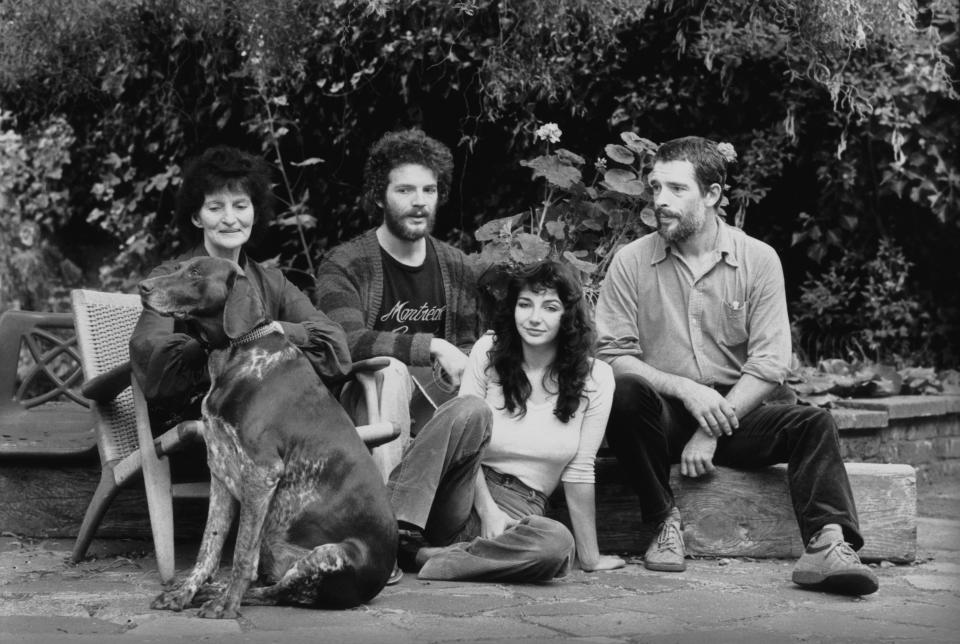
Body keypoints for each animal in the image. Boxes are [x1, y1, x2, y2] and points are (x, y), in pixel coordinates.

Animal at [139, 255, 398, 620]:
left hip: (330, 555)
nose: (142, 287)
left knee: (280, 592)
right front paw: (184, 594)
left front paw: (226, 605)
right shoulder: (220, 473)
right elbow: (208, 549)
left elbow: (241, 555)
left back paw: (226, 596)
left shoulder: (261, 473)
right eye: (179, 267)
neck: (237, 352)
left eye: (195, 273)